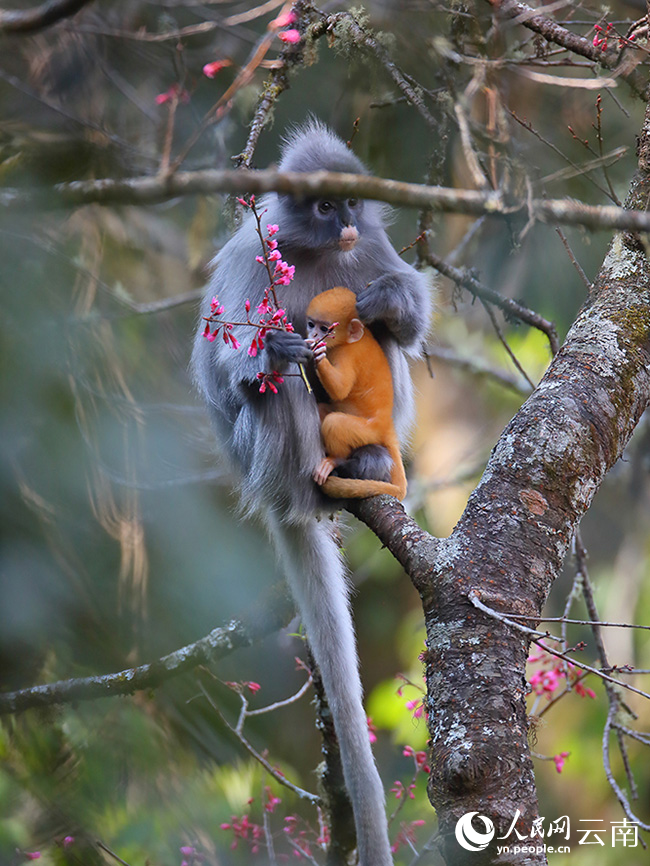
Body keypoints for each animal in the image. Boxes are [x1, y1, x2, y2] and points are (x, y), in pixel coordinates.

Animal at [306, 287, 408, 500]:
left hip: (368, 431)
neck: (351, 340)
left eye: (325, 329)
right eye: (311, 324)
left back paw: (336, 459)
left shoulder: (348, 355)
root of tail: (387, 425)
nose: (313, 333)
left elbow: (341, 389)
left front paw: (319, 356)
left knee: (335, 422)